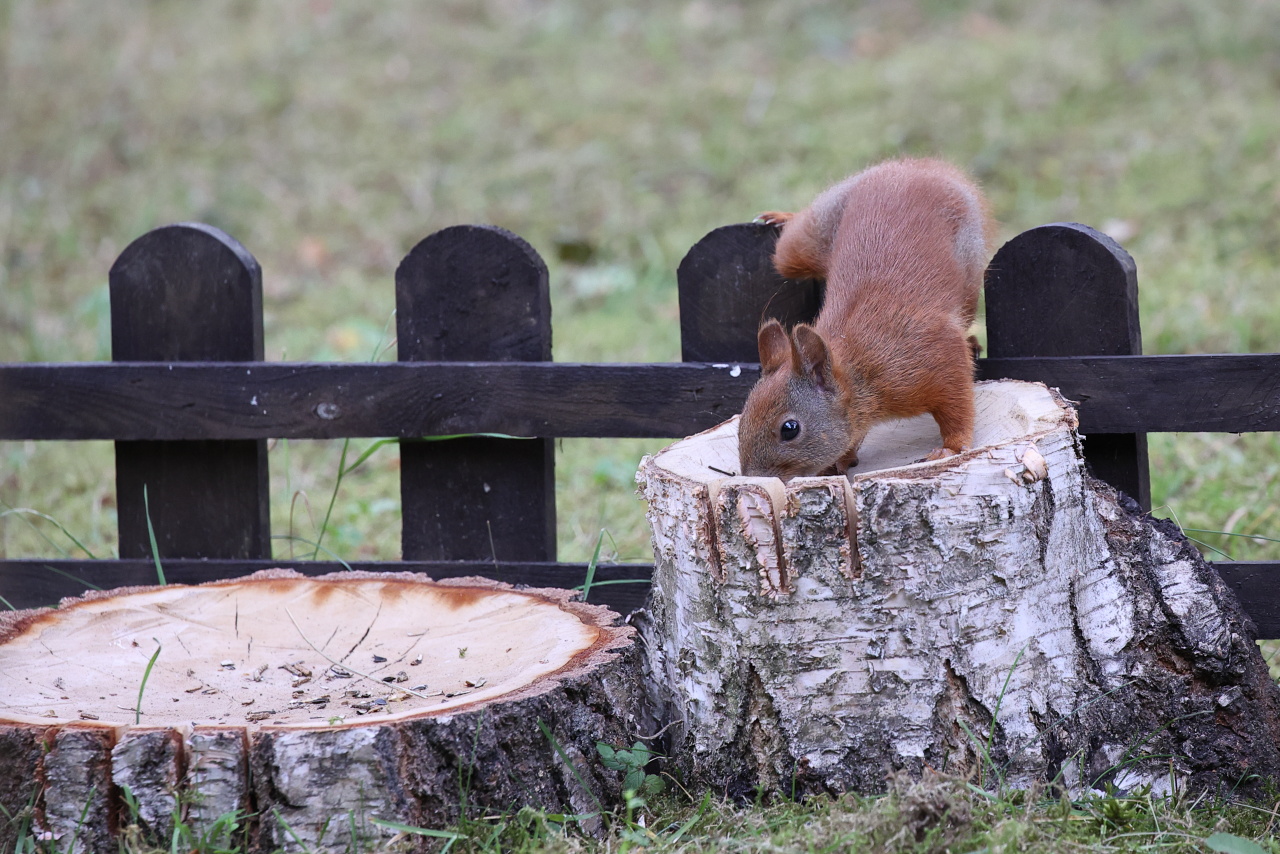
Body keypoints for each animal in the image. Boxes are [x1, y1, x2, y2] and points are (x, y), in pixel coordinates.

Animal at [737, 159, 993, 481]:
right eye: (741, 424)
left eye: (790, 429)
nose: (753, 479)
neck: (859, 367)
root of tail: (914, 167)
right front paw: (842, 460)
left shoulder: (936, 353)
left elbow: (957, 402)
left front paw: (952, 446)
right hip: (805, 240)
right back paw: (783, 217)